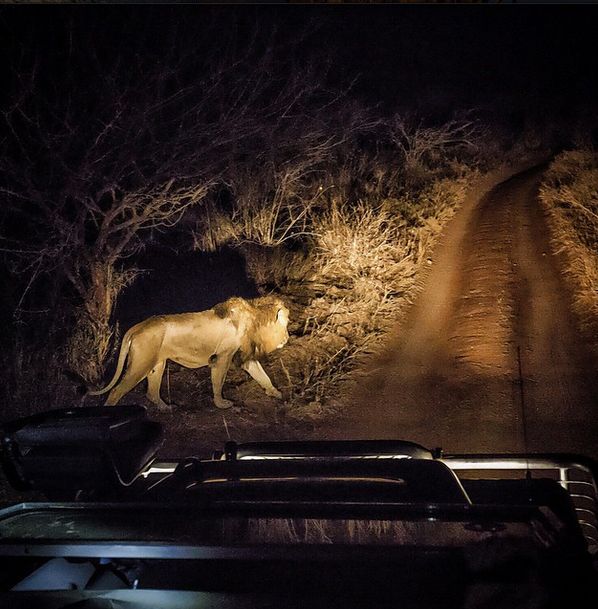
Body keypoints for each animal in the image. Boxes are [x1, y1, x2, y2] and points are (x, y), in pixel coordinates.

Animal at [89, 294, 292, 408]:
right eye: (286, 324)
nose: (287, 339)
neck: (254, 319)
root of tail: (138, 326)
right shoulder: (223, 357)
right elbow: (218, 382)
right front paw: (221, 404)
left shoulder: (244, 355)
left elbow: (263, 376)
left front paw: (276, 393)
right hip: (140, 364)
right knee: (116, 391)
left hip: (157, 364)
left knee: (151, 393)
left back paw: (166, 407)